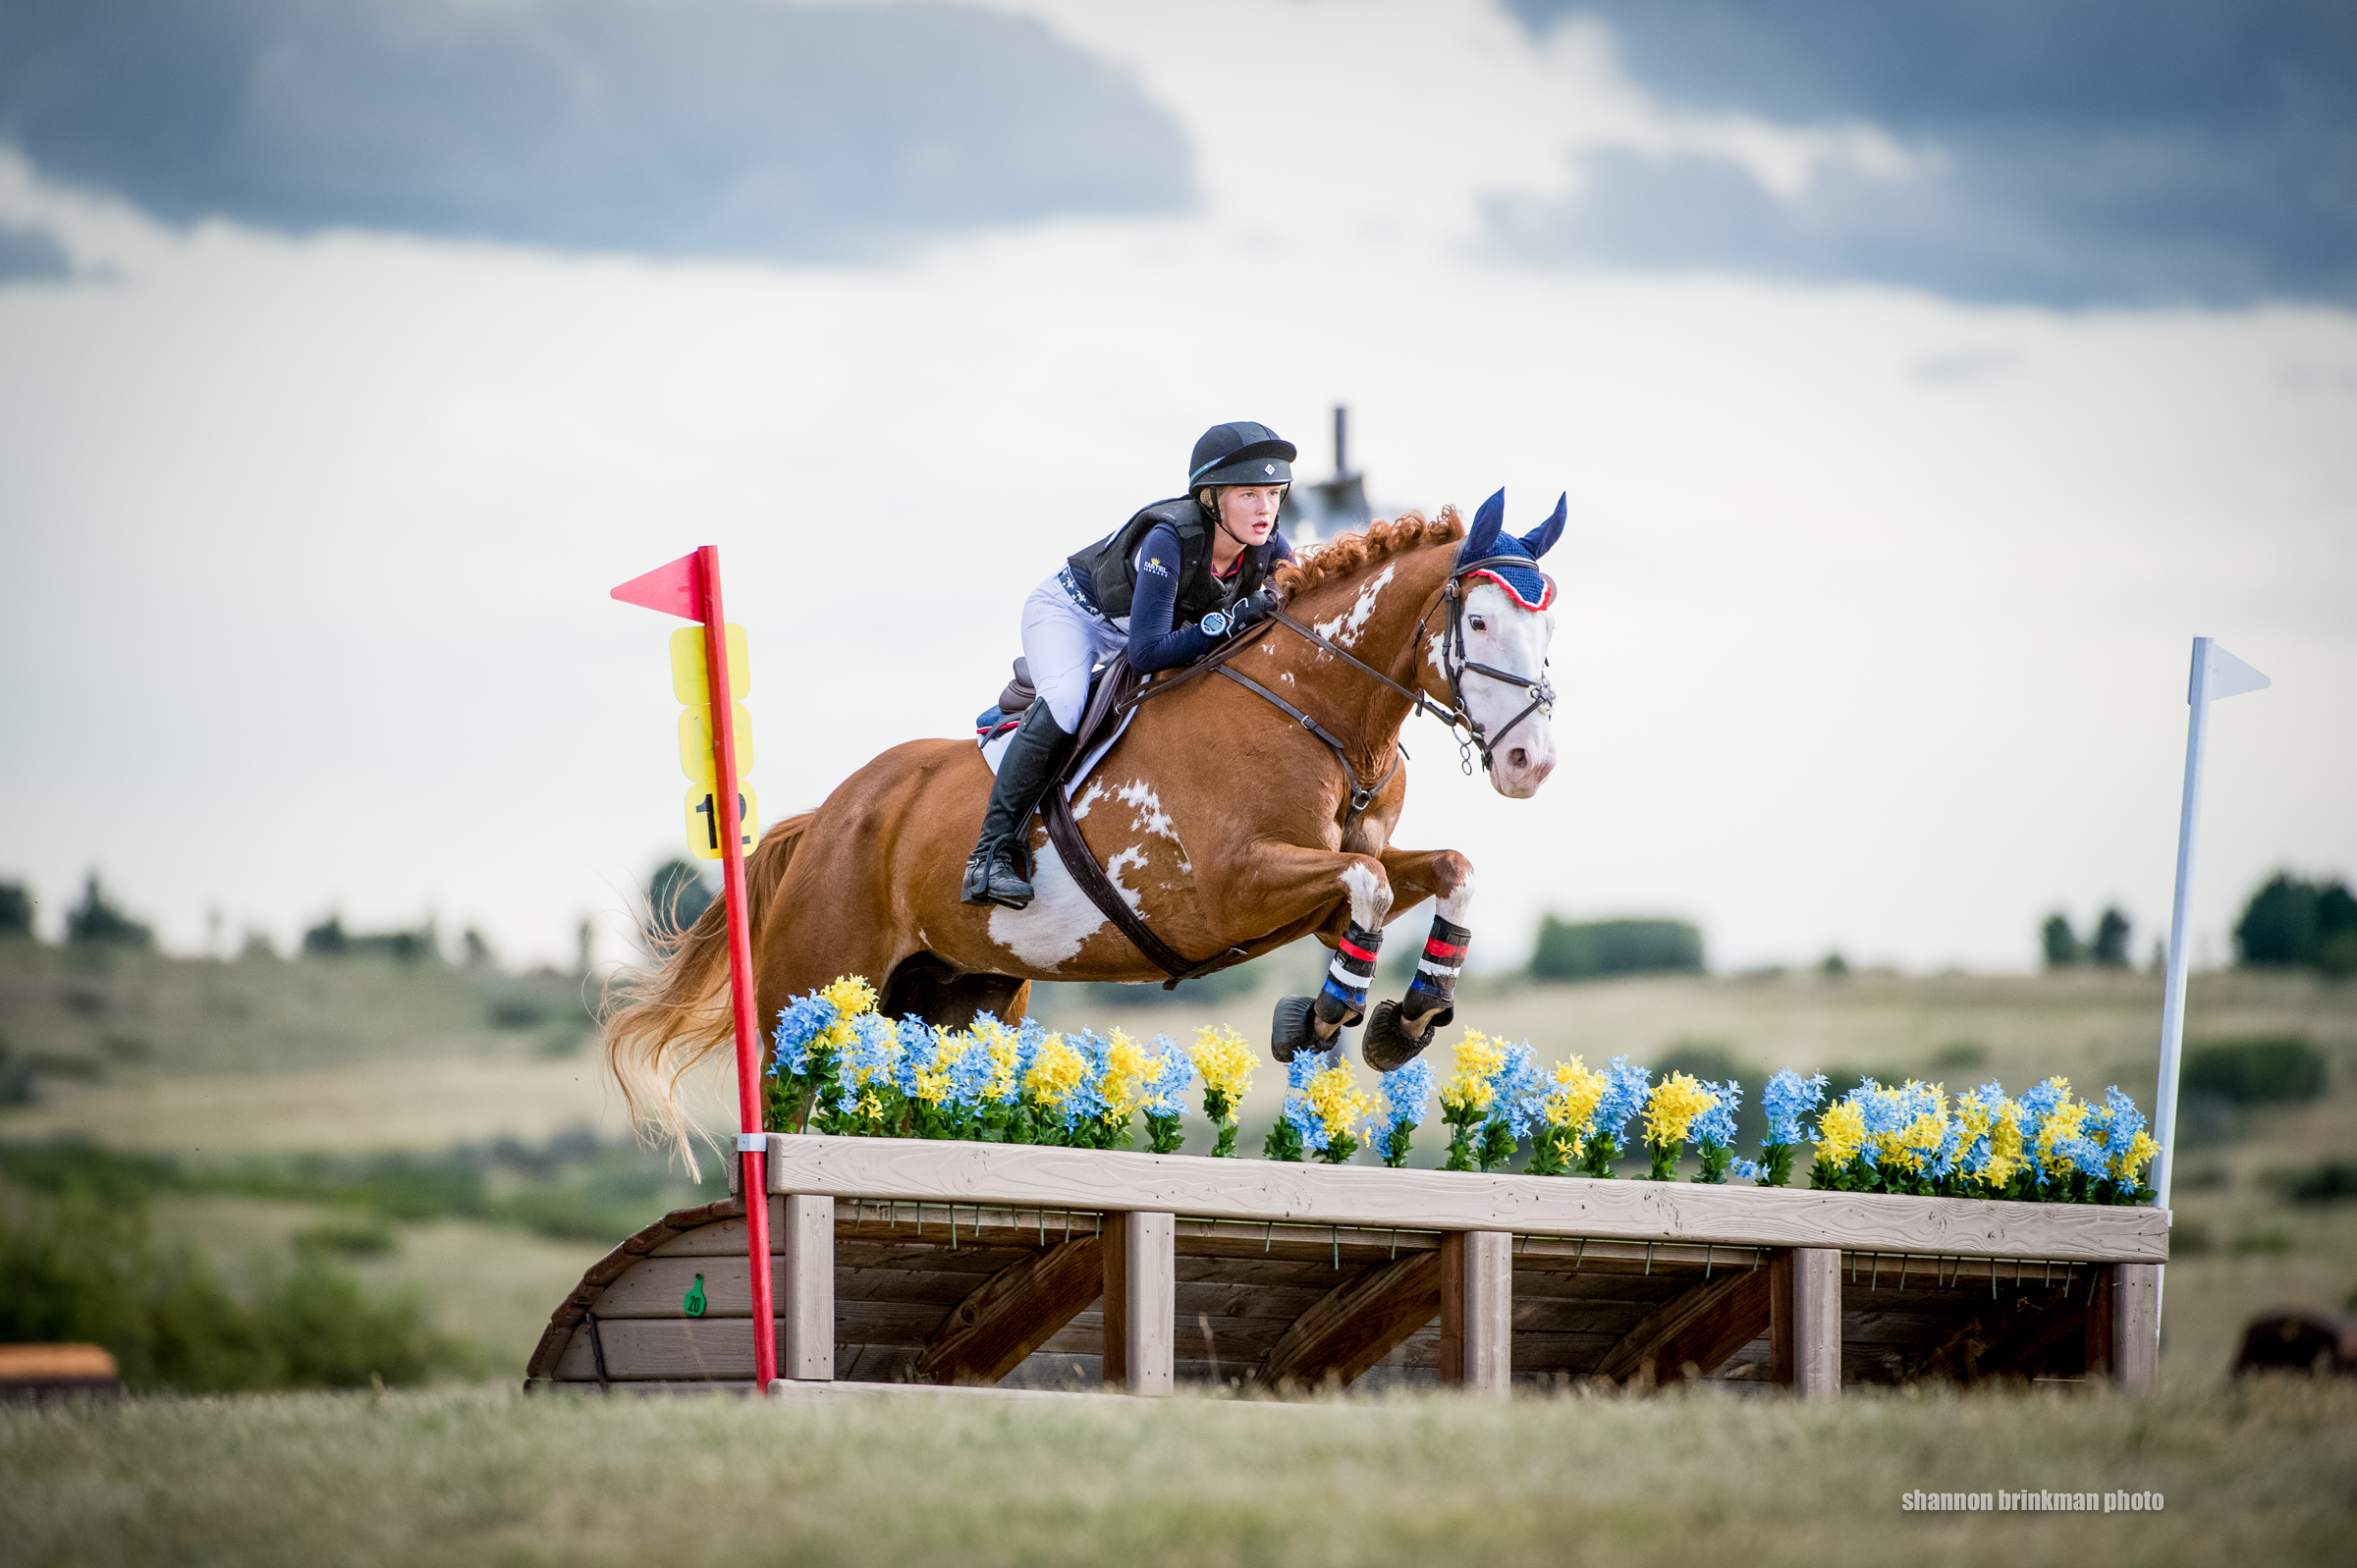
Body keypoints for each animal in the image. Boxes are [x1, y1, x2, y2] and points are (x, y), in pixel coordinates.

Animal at [607, 493, 1566, 1155]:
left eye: (1547, 630)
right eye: (1480, 621)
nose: (1532, 763)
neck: (1318, 713)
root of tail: (825, 817)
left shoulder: (1325, 893)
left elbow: (1445, 870)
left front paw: (1407, 1014)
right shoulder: (1234, 888)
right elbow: (1365, 886)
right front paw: (1326, 1017)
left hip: (957, 1004)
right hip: (803, 1010)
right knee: (782, 1112)